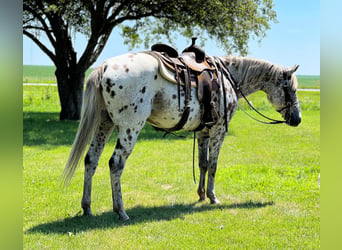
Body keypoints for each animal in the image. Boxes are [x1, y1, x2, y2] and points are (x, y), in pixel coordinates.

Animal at [60, 50, 300, 221]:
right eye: (292, 89)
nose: (297, 119)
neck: (228, 78)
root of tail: (105, 66)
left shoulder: (203, 132)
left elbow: (203, 164)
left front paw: (201, 194)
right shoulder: (218, 130)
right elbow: (214, 165)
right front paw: (213, 197)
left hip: (104, 124)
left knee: (91, 159)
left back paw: (87, 207)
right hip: (130, 128)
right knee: (115, 163)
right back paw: (121, 211)